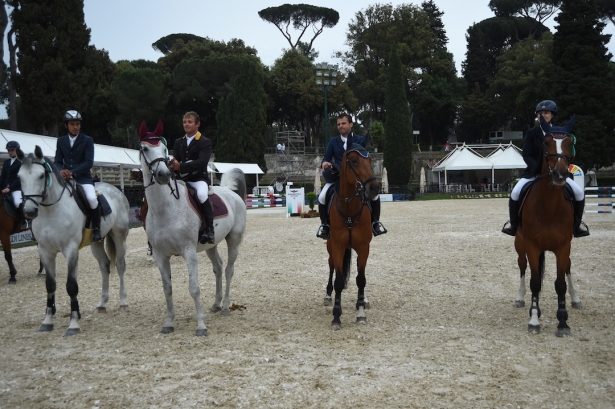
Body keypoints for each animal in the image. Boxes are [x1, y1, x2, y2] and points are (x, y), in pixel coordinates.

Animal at [16, 146, 130, 334]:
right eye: (19, 176)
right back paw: (102, 304)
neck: (51, 211)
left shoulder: (70, 250)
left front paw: (74, 323)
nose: (30, 211)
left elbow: (71, 285)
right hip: (96, 242)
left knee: (120, 266)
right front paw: (47, 321)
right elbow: (50, 284)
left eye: (41, 176)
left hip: (119, 236)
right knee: (104, 266)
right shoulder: (45, 251)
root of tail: (116, 190)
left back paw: (123, 302)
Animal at [138, 120, 247, 334]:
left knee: (229, 270)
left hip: (234, 240)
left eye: (164, 149)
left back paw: (226, 307)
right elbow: (167, 289)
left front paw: (201, 326)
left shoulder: (188, 252)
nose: (164, 174)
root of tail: (229, 192)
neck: (165, 209)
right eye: (145, 148)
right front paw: (169, 323)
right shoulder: (160, 255)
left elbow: (194, 288)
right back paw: (216, 304)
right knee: (218, 267)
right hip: (211, 245)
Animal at [322, 143, 380, 328]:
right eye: (354, 161)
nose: (374, 187)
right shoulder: (337, 246)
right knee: (331, 266)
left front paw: (361, 314)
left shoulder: (364, 247)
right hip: (330, 247)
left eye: (370, 160)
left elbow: (361, 279)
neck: (349, 209)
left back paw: (363, 300)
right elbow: (339, 281)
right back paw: (328, 296)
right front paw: (336, 317)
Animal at [516, 114, 584, 334]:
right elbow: (535, 282)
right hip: (520, 244)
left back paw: (576, 299)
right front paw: (534, 320)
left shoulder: (563, 246)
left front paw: (563, 321)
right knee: (522, 266)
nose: (561, 175)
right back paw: (521, 299)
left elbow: (560, 283)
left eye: (570, 143)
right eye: (546, 142)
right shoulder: (531, 245)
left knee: (569, 267)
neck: (549, 206)